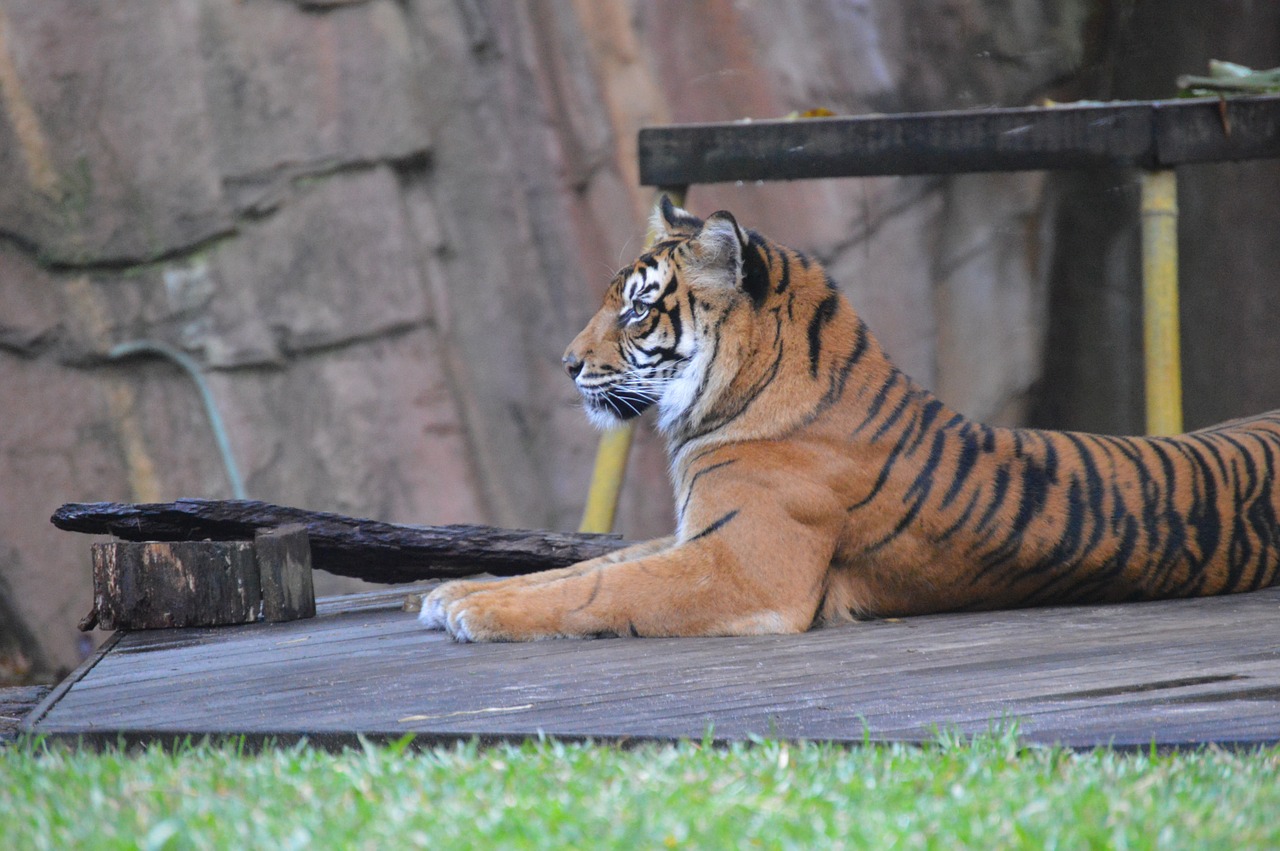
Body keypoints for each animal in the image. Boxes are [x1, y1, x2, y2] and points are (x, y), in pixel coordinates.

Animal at [419, 195, 1280, 639]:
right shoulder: (697, 530)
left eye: (634, 309)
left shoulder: (744, 564)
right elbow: (581, 566)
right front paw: (446, 590)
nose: (565, 363)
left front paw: (473, 608)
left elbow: (602, 587)